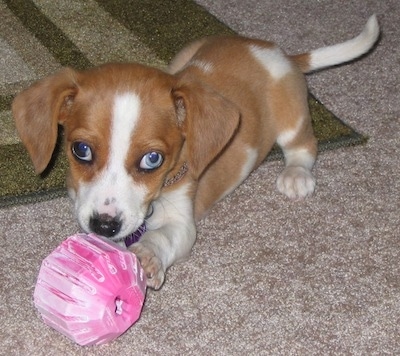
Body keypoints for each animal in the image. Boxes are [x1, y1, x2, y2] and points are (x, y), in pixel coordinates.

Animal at [12, 16, 380, 290]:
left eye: (152, 159)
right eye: (81, 150)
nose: (104, 226)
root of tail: (280, 54)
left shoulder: (182, 223)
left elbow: (162, 237)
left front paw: (147, 255)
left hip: (292, 118)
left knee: (304, 146)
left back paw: (296, 176)